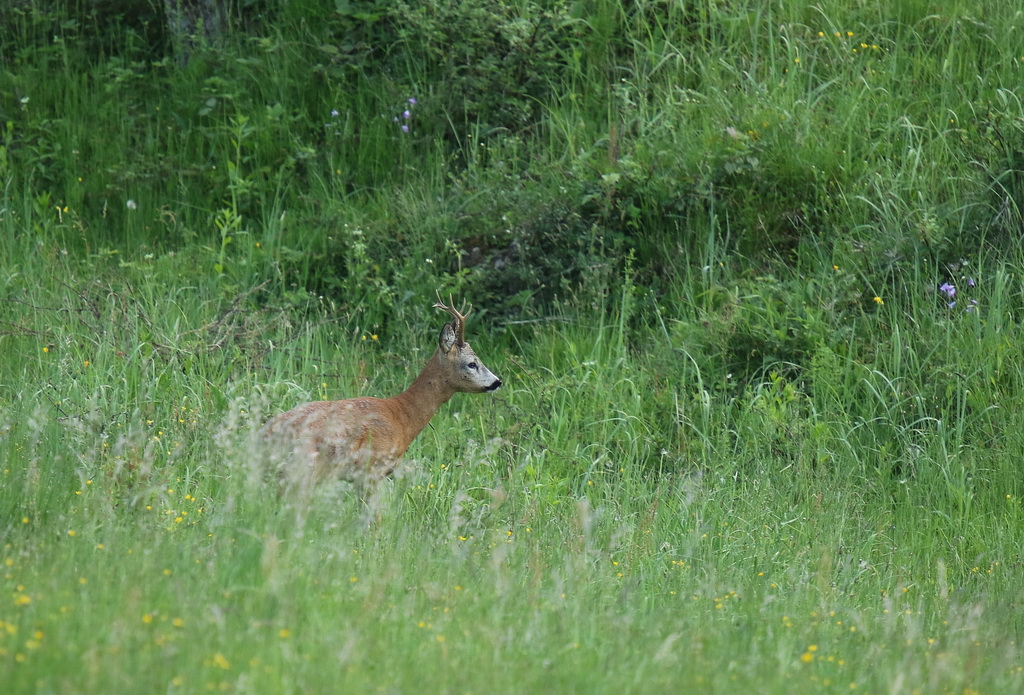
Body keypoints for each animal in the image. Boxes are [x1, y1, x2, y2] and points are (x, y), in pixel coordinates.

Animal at [262, 290, 501, 491]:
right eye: (472, 363)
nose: (497, 382)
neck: (402, 417)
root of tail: (268, 433)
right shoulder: (372, 470)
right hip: (305, 469)